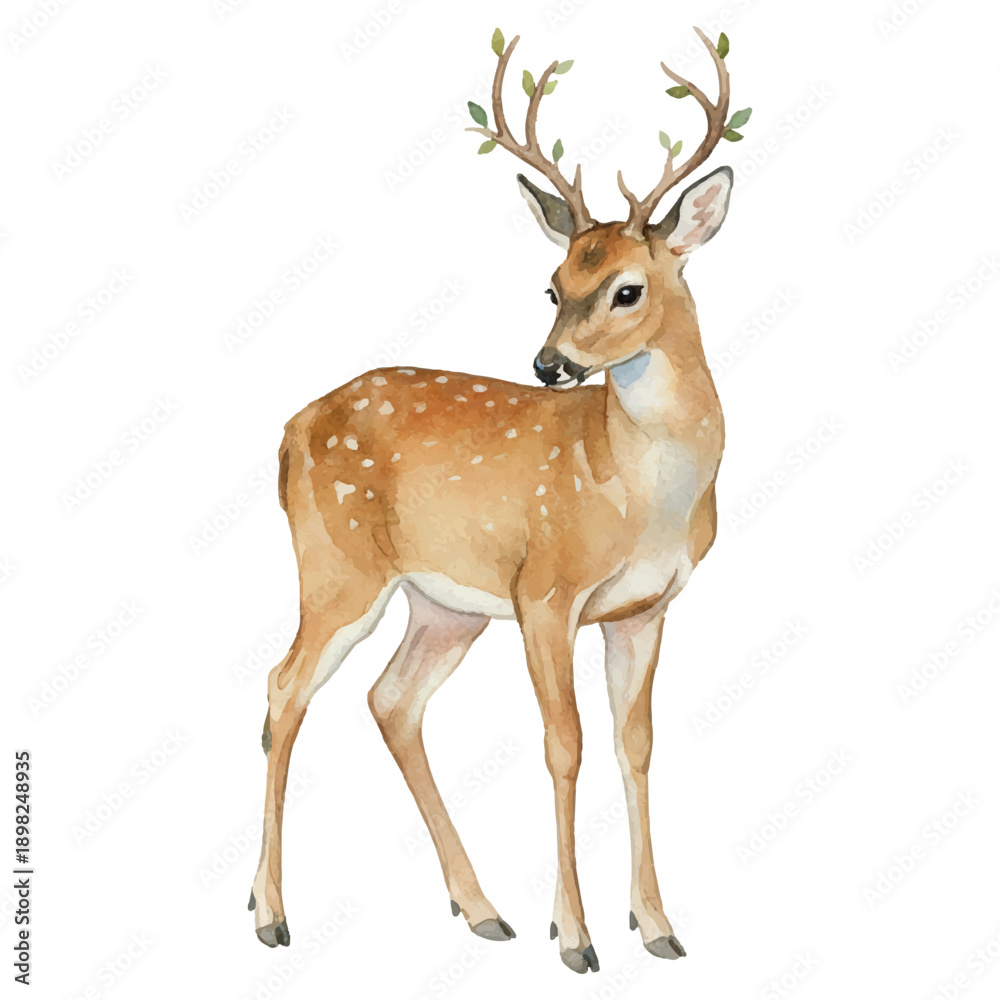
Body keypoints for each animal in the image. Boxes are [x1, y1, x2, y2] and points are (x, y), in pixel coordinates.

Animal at [249, 25, 745, 974]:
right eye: (553, 283)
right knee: (284, 687)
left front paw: (658, 926)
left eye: (627, 287)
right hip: (337, 565)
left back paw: (480, 908)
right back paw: (269, 914)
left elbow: (636, 747)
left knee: (391, 701)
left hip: (445, 604)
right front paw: (578, 937)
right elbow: (565, 745)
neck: (637, 491)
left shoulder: (646, 608)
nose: (550, 365)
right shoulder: (546, 589)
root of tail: (289, 430)